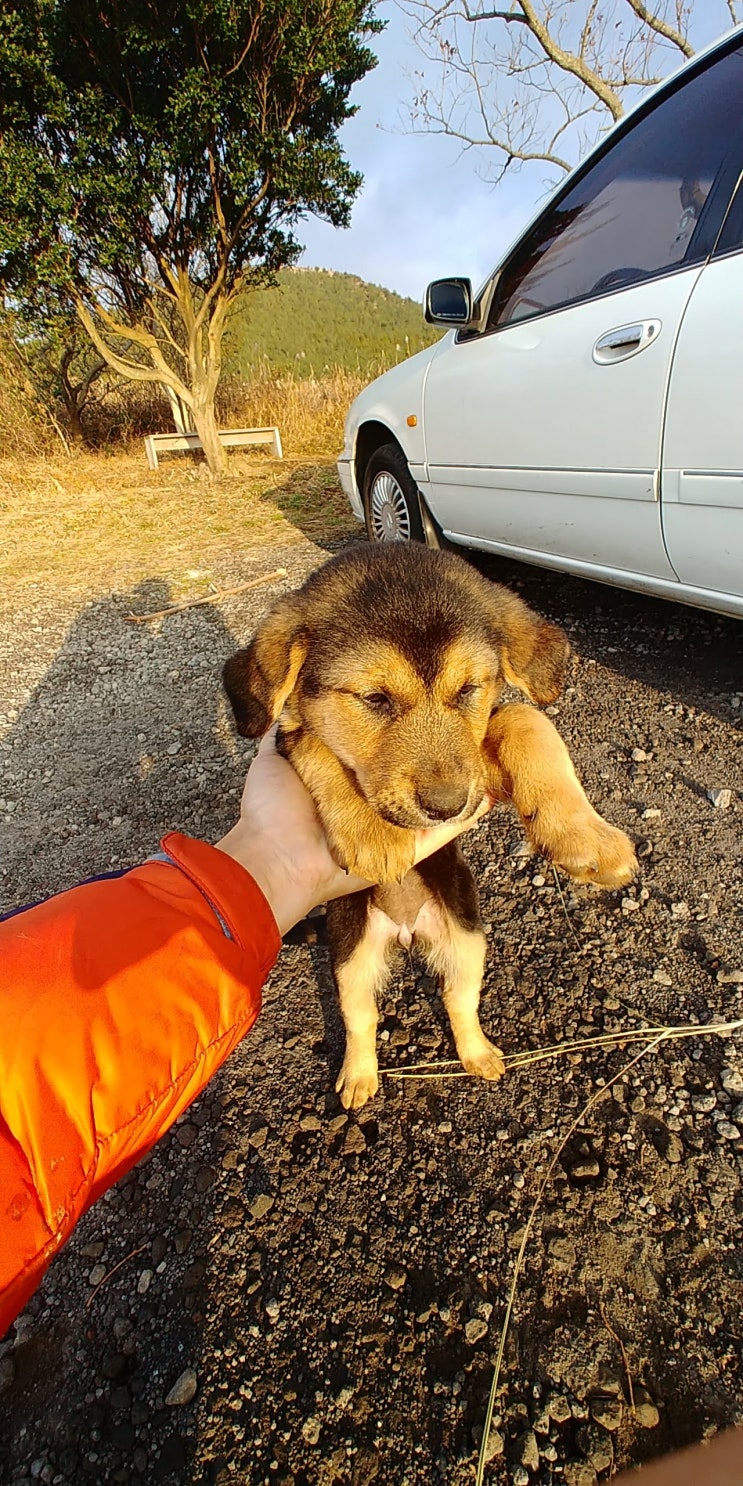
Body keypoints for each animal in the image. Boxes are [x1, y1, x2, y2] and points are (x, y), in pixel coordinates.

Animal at [219, 543, 633, 1105]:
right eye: (374, 699)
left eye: (468, 690)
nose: (447, 807)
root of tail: (407, 930)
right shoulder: (286, 738)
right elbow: (316, 745)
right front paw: (372, 835)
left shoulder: (481, 770)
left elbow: (527, 721)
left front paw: (587, 840)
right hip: (350, 956)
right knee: (361, 1019)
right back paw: (358, 1079)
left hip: (468, 938)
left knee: (459, 1002)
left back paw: (479, 1056)